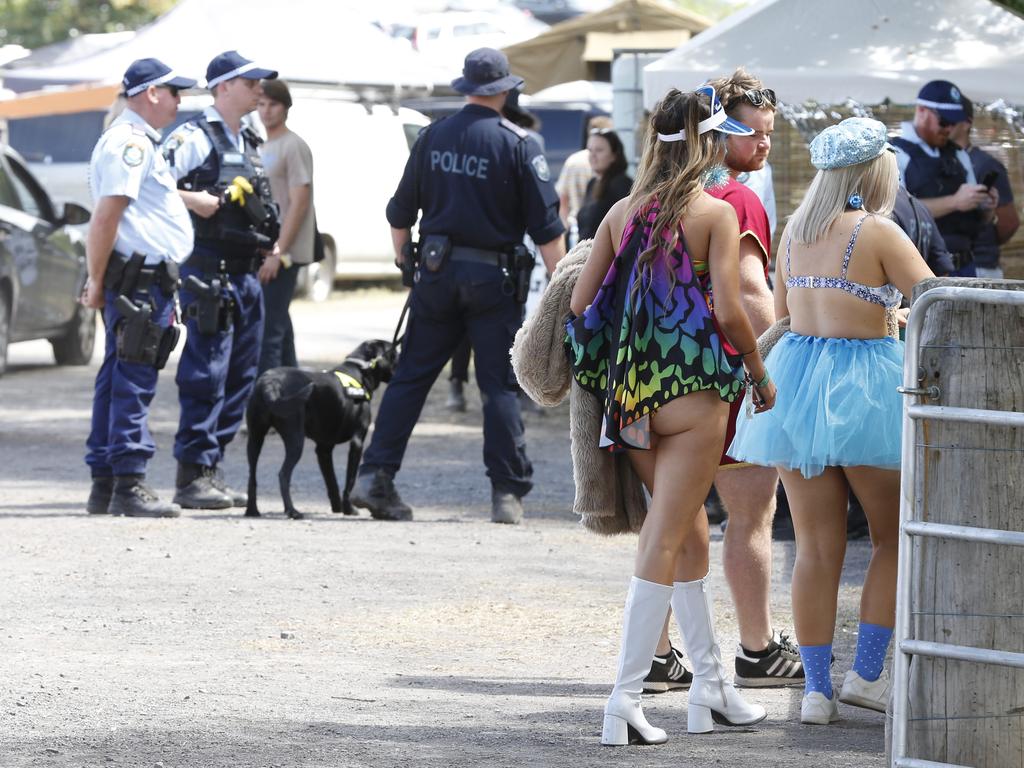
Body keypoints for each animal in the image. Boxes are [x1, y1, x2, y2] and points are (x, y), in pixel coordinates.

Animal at [243, 339, 395, 520]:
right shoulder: (357, 443)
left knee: (252, 476)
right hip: (295, 439)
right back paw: (292, 511)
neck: (360, 370)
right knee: (283, 475)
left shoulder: (323, 448)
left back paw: (252, 511)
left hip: (255, 438)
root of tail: (269, 383)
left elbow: (331, 481)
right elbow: (349, 481)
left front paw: (338, 507)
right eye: (396, 353)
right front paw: (348, 509)